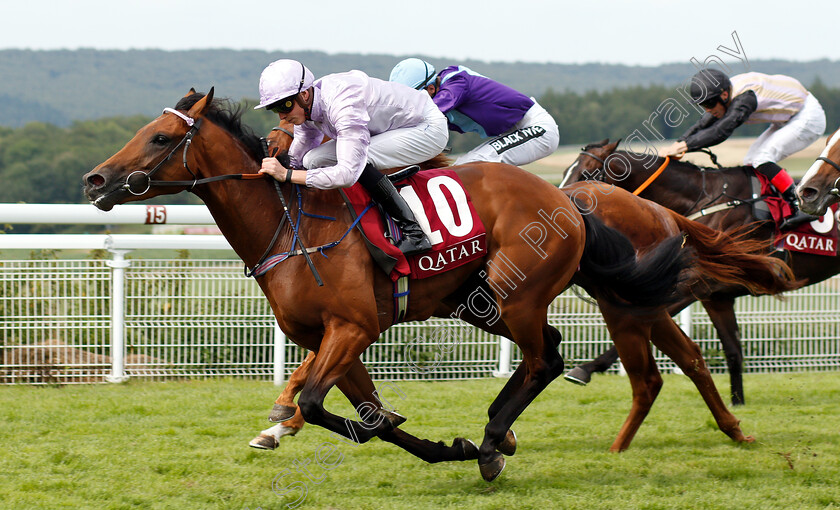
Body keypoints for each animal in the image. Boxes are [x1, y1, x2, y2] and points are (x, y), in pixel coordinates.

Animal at [82, 88, 692, 482]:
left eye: (160, 137)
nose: (95, 179)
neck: (292, 223)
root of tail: (566, 200)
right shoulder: (326, 338)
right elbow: (369, 417)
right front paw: (445, 447)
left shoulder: (354, 327)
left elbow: (320, 403)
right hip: (480, 302)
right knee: (550, 351)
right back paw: (499, 435)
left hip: (516, 293)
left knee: (543, 359)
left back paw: (494, 438)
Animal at [254, 125, 796, 452]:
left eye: (589, 165)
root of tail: (659, 211)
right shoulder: (352, 320)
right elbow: (322, 372)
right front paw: (281, 420)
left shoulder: (358, 317)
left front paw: (283, 418)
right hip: (628, 302)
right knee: (684, 359)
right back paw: (728, 429)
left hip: (608, 304)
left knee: (640, 372)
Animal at [556, 139, 832, 406]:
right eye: (566, 170)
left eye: (586, 173)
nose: (563, 208)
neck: (706, 200)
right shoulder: (716, 296)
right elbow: (733, 351)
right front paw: (737, 403)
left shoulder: (692, 284)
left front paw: (585, 369)